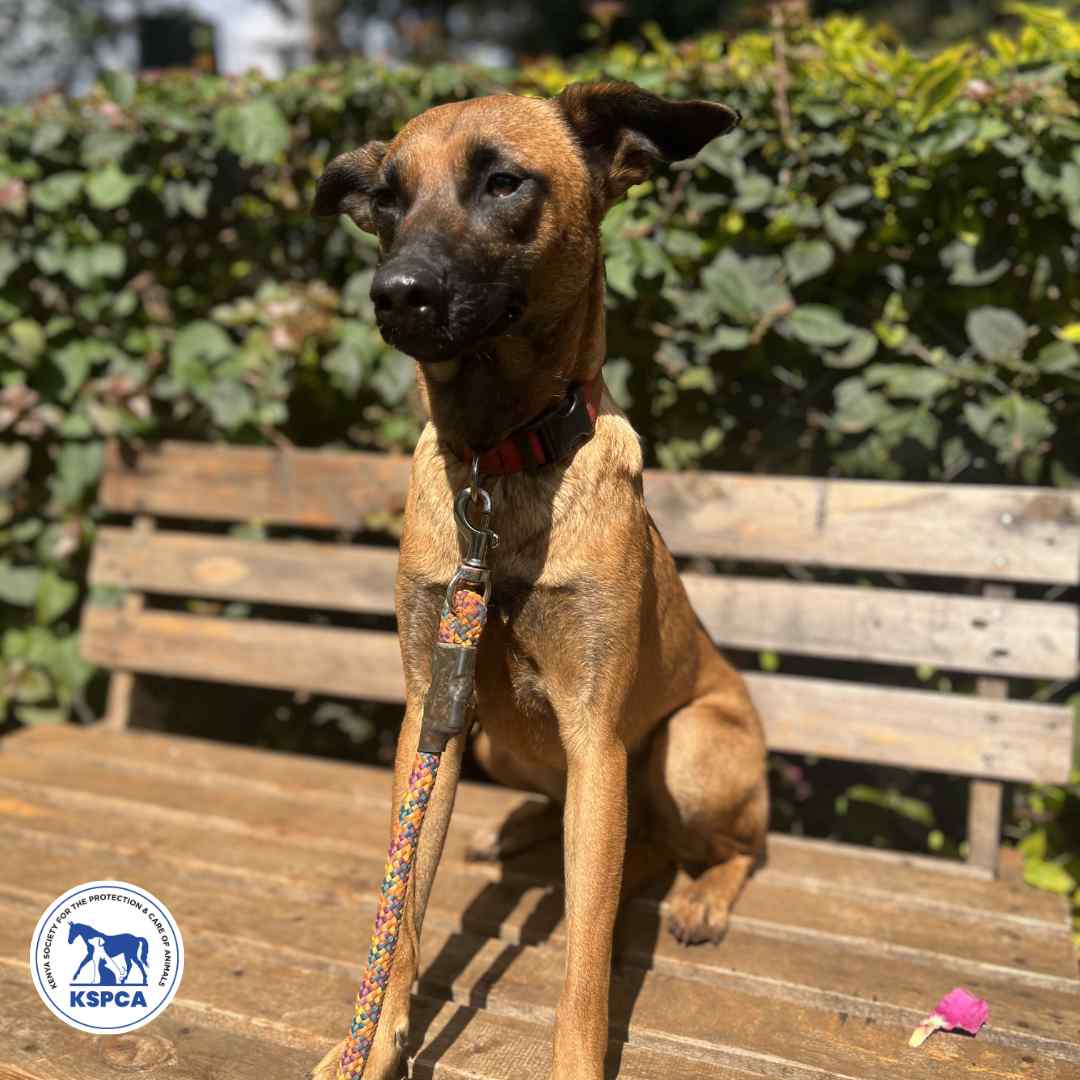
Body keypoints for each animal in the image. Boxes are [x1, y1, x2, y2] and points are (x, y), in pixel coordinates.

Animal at [311, 81, 768, 1080]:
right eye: (388, 199)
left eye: (504, 182)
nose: (396, 294)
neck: (501, 467)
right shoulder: (429, 712)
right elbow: (403, 910)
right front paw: (372, 1042)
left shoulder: (599, 738)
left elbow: (586, 960)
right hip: (498, 744)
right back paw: (520, 827)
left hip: (691, 748)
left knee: (733, 849)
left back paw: (703, 898)